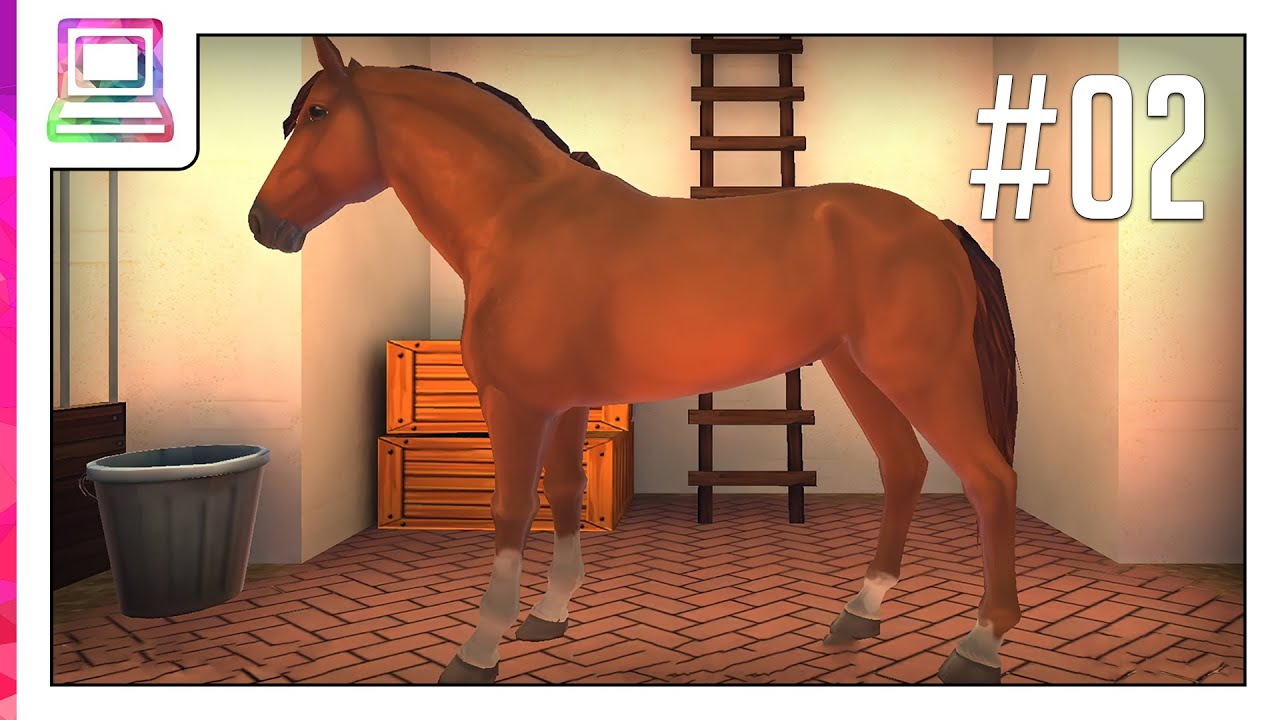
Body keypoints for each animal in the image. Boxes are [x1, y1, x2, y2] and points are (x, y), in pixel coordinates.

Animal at [249, 37, 1020, 685]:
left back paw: (978, 647)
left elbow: (510, 511)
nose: (262, 225)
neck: (519, 221)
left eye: (317, 113)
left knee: (988, 480)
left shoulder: (515, 405)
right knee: (904, 468)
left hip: (923, 376)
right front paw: (548, 617)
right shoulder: (561, 403)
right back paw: (860, 614)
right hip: (857, 371)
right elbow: (563, 494)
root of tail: (937, 227)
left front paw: (477, 651)